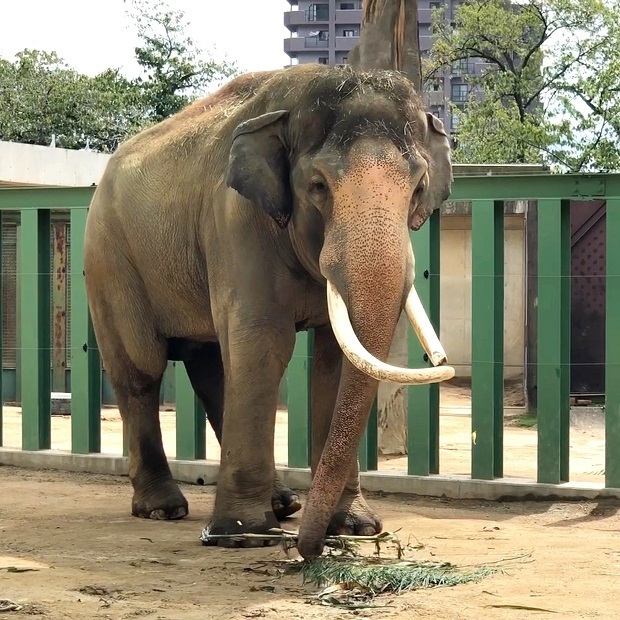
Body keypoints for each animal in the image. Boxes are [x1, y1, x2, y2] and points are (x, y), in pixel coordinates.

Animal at [85, 64, 456, 560]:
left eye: (418, 188)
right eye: (318, 186)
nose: (307, 550)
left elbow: (334, 361)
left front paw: (355, 527)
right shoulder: (236, 220)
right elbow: (265, 344)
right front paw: (243, 535)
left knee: (212, 366)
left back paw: (285, 505)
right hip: (111, 260)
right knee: (141, 370)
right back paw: (166, 509)